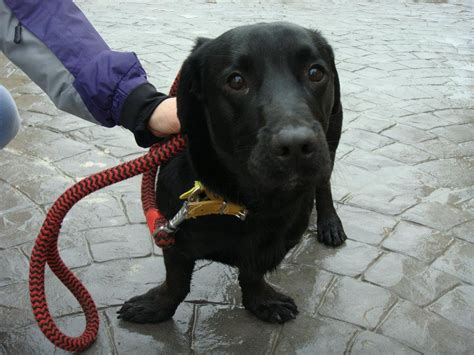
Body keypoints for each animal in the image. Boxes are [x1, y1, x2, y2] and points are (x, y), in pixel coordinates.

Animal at [118, 22, 346, 326]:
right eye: (236, 81)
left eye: (315, 72)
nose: (297, 145)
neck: (239, 200)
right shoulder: (171, 233)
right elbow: (176, 280)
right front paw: (157, 305)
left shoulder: (276, 242)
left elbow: (252, 272)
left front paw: (261, 299)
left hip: (333, 133)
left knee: (324, 184)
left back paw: (329, 221)